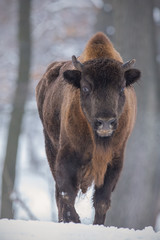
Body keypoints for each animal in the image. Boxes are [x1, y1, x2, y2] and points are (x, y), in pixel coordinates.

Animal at [35, 32, 141, 225]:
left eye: (122, 88)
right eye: (85, 88)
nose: (105, 122)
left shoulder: (114, 160)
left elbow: (102, 200)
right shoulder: (67, 154)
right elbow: (66, 193)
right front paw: (73, 221)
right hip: (50, 147)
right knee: (58, 193)